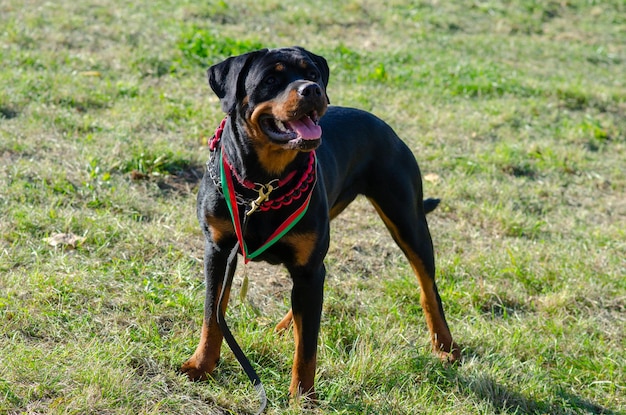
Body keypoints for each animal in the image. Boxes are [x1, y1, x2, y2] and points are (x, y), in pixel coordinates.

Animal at [180, 47, 458, 402]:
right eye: (269, 80)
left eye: (311, 73)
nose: (311, 89)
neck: (263, 186)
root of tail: (385, 127)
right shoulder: (217, 250)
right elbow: (211, 315)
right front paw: (200, 366)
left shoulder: (308, 268)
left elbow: (307, 347)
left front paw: (302, 397)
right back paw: (287, 324)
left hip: (407, 220)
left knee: (428, 288)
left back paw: (445, 346)